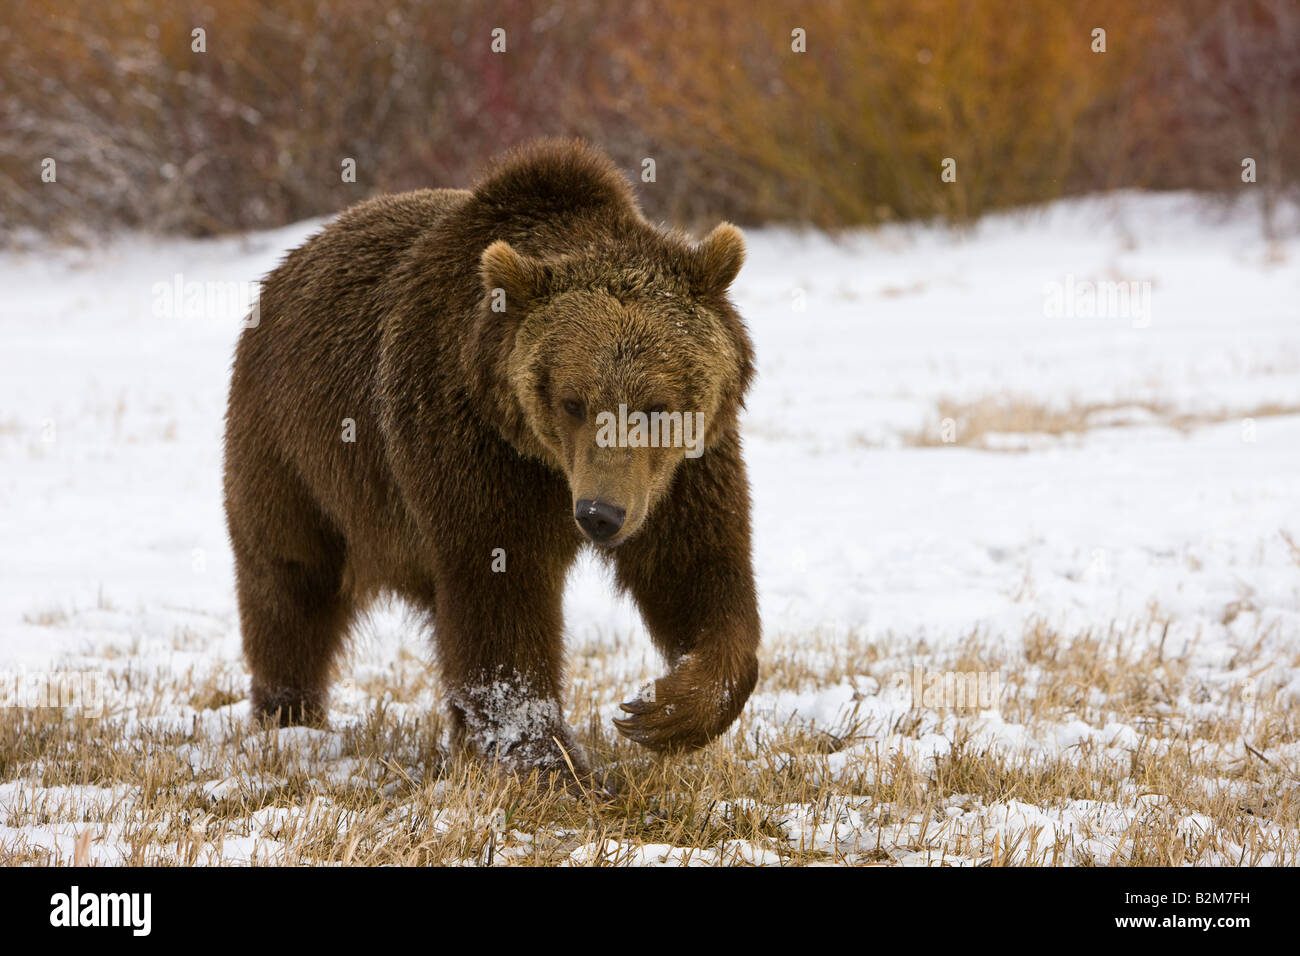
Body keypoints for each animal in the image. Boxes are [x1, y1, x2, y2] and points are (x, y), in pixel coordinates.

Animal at [223, 143, 759, 785]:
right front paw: (554, 768)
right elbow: (501, 605)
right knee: (288, 581)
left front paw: (662, 710)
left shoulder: (681, 470)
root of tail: (292, 260)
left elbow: (697, 568)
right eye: (572, 401)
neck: (546, 463)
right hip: (293, 451)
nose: (599, 515)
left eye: (656, 406)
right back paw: (289, 715)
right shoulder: (471, 448)